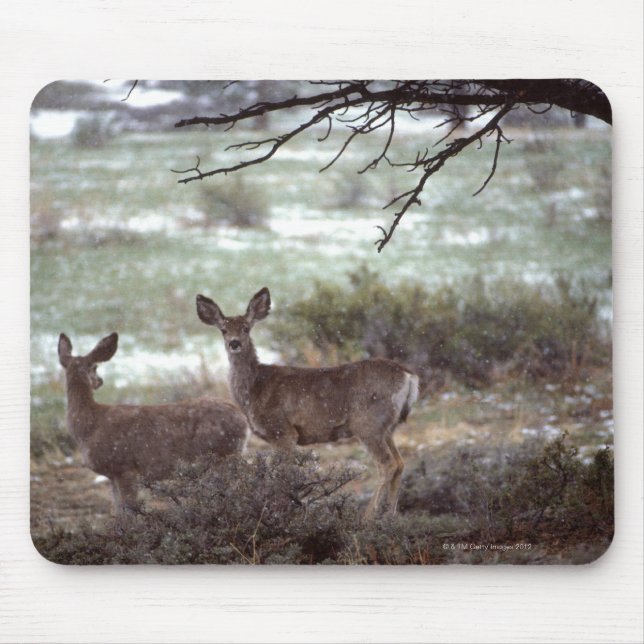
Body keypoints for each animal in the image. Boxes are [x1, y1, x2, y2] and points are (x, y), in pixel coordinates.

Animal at [57, 332, 248, 514]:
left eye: (95, 366)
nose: (100, 381)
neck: (89, 424)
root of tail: (243, 419)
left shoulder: (125, 467)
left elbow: (130, 513)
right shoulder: (112, 475)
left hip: (223, 454)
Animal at [196, 287, 419, 518]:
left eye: (246, 328)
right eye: (223, 330)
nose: (234, 343)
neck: (255, 389)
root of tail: (408, 375)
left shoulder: (282, 431)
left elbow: (283, 477)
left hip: (368, 423)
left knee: (387, 464)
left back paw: (367, 518)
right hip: (388, 427)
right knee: (400, 463)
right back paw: (389, 516)